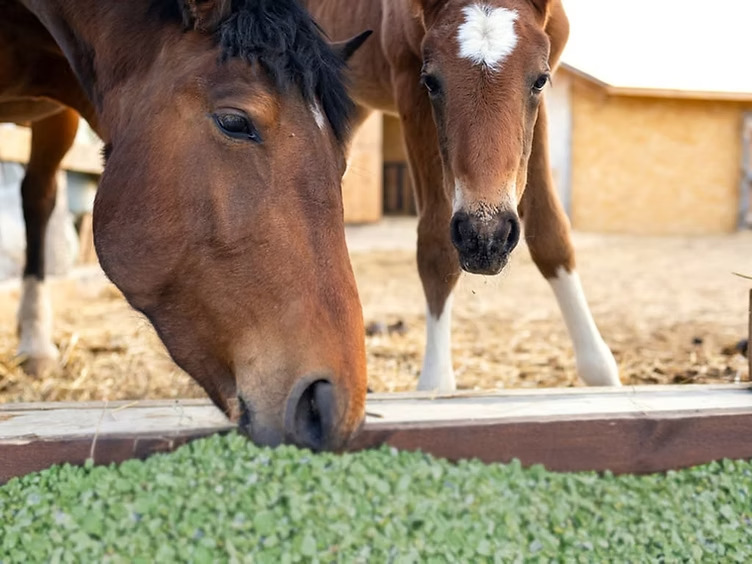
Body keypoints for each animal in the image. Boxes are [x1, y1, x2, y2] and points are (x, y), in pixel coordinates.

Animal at [303, 0, 622, 391]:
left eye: (539, 80)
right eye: (431, 81)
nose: (485, 238)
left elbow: (551, 232)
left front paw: (601, 372)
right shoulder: (408, 86)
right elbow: (436, 247)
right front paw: (436, 384)